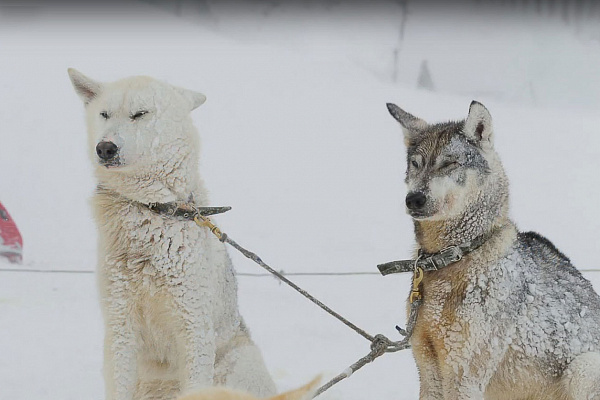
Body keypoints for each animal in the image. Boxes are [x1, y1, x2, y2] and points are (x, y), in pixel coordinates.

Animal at [69, 69, 276, 400]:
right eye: (104, 114)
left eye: (139, 114)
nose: (105, 148)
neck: (153, 210)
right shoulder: (119, 327)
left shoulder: (194, 329)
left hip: (239, 363)